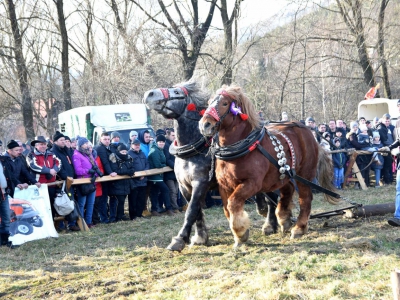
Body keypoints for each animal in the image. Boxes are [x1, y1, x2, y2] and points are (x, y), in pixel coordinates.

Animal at [198, 85, 340, 247]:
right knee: (288, 190)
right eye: (209, 102)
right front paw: (241, 234)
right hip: (283, 175)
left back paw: (299, 228)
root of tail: (307, 130)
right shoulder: (224, 185)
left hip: (304, 173)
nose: (204, 125)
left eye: (225, 103)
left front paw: (240, 233)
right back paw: (284, 219)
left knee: (305, 198)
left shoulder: (252, 183)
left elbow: (233, 204)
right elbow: (227, 209)